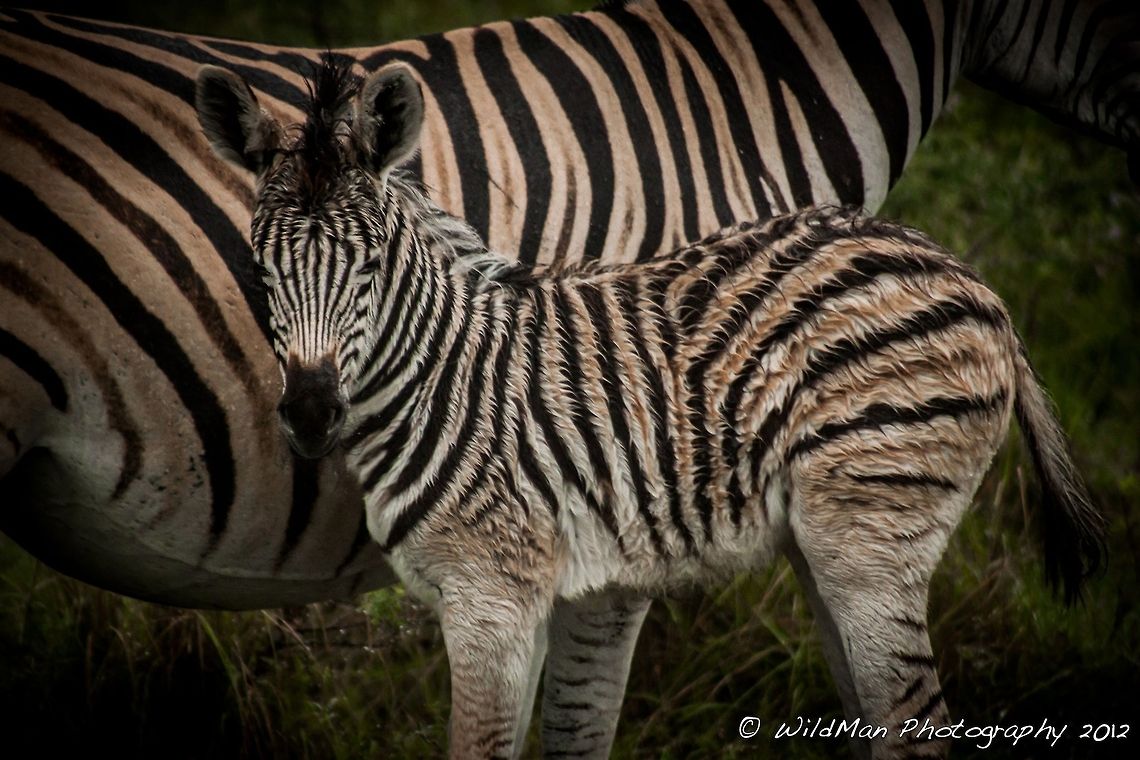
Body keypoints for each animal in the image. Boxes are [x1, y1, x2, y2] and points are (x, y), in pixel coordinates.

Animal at [3, 1, 1134, 753]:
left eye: (369, 267)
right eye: (257, 266)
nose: (312, 416)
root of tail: (974, 282)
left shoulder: (510, 590)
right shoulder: (523, 589)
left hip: (862, 534)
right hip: (845, 544)